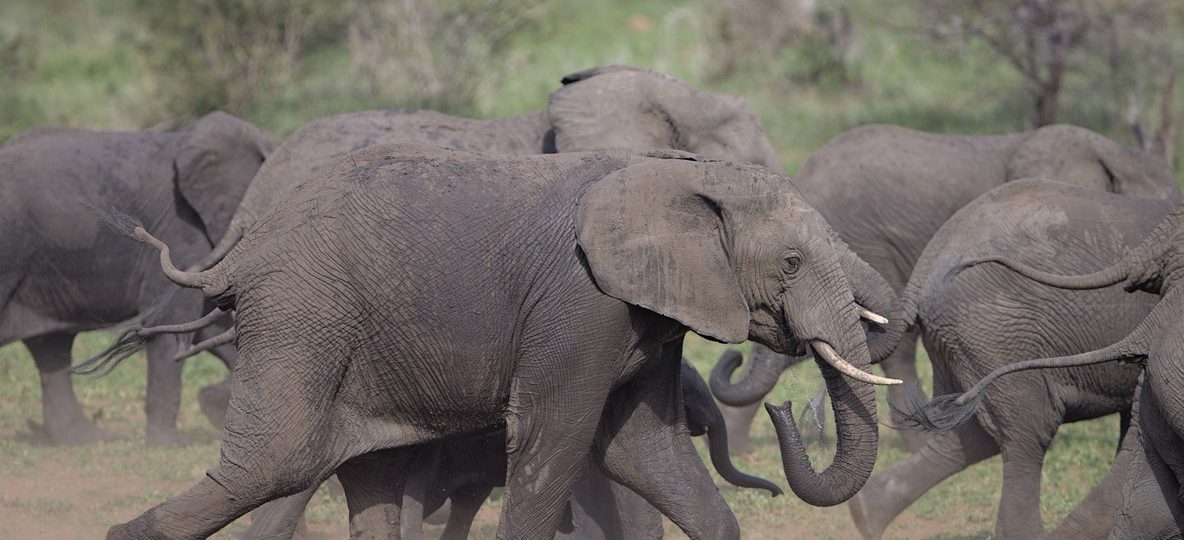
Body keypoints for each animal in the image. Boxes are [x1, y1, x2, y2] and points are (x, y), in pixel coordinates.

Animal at [0, 111, 275, 445]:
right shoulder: (183, 228)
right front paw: (169, 444)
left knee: (50, 347)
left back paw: (86, 438)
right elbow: (175, 320)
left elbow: (205, 323)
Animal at [87, 145, 900, 539]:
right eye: (790, 263)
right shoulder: (580, 305)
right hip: (301, 315)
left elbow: (644, 450)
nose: (788, 412)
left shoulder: (643, 315)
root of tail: (242, 248)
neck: (674, 175)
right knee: (274, 462)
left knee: (362, 472)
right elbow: (555, 441)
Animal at [852, 179, 1172, 539]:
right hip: (994, 329)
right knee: (1028, 431)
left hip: (962, 340)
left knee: (966, 435)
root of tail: (929, 260)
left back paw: (866, 514)